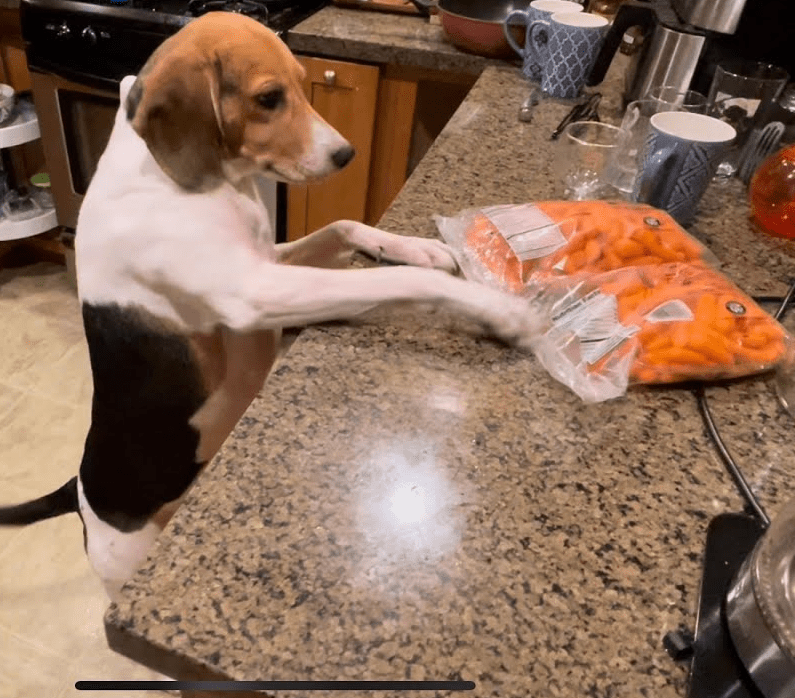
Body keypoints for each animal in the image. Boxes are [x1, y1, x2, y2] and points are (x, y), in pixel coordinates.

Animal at [0, 12, 548, 600]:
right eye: (268, 98)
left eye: (304, 83)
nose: (346, 155)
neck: (179, 177)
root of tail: (79, 487)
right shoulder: (255, 292)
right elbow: (398, 281)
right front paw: (498, 311)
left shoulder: (271, 259)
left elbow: (346, 226)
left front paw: (419, 248)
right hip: (122, 562)